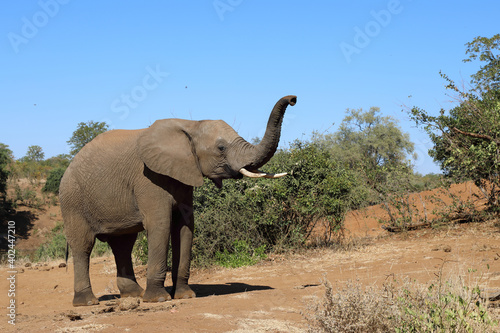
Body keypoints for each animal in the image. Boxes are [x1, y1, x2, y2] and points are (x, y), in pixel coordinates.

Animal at [60, 94, 298, 304]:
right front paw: (158, 299)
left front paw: (185, 296)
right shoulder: (149, 178)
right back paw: (88, 302)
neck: (190, 125)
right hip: (72, 200)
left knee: (123, 245)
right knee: (83, 246)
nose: (293, 99)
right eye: (221, 148)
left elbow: (185, 226)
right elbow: (161, 225)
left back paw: (133, 295)